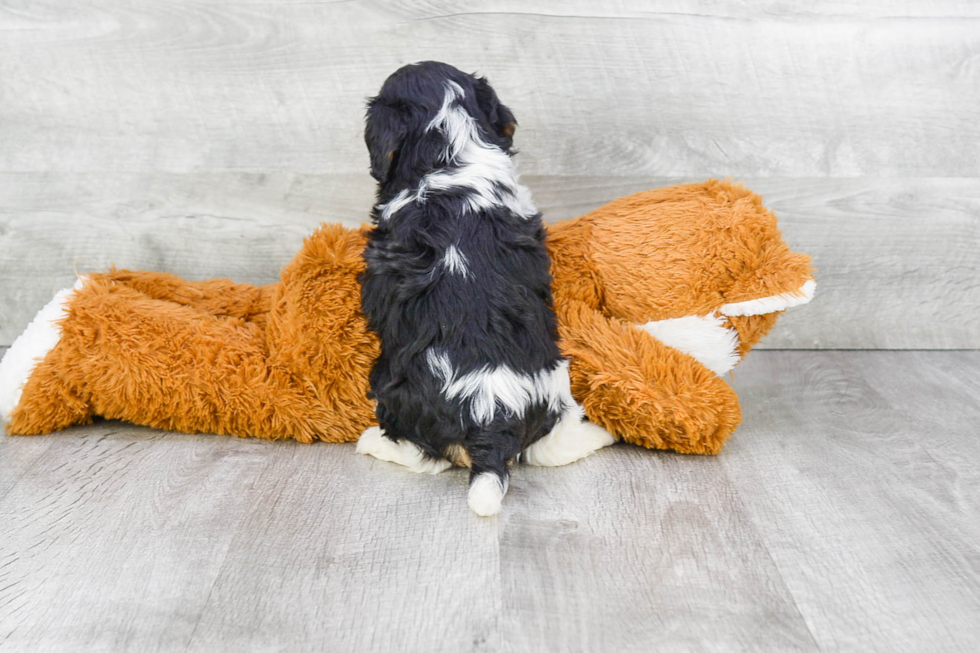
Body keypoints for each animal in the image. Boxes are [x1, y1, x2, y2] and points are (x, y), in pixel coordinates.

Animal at [352, 61, 612, 516]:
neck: (452, 155)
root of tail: (492, 415)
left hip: (394, 392)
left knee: (425, 457)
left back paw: (372, 443)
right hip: (556, 380)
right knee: (551, 445)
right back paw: (599, 435)